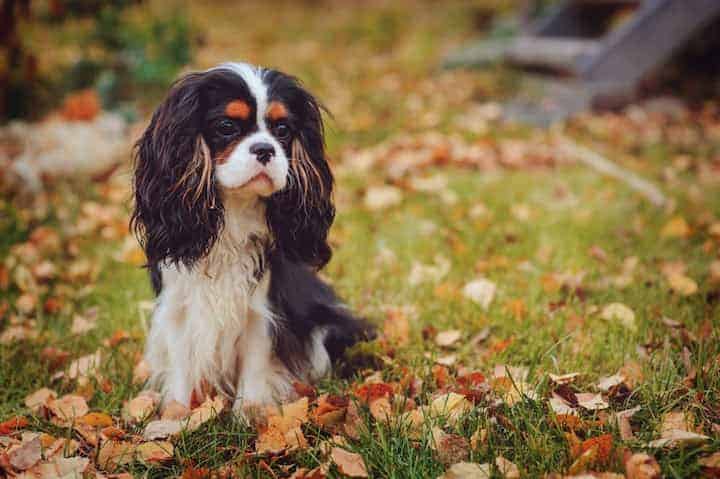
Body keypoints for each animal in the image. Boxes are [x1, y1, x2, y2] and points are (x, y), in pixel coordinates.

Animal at [131, 62, 372, 410]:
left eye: (282, 129)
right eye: (227, 126)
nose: (265, 149)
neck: (232, 214)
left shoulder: (262, 310)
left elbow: (256, 366)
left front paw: (253, 415)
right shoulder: (177, 308)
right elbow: (181, 370)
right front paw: (175, 415)